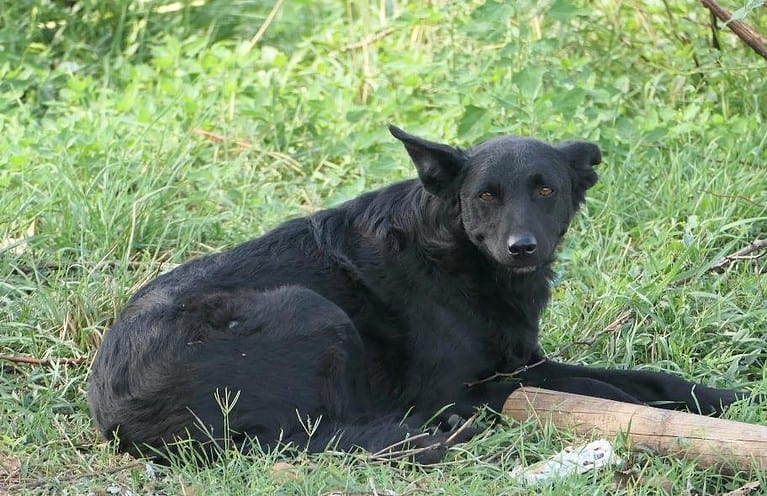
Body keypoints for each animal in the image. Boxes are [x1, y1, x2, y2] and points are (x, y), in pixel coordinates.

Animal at [88, 126, 744, 464]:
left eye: (546, 189)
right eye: (484, 196)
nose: (522, 248)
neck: (461, 260)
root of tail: (114, 413)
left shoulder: (523, 361)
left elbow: (647, 379)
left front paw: (721, 399)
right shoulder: (458, 386)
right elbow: (604, 391)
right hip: (311, 311)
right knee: (314, 438)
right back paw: (434, 436)